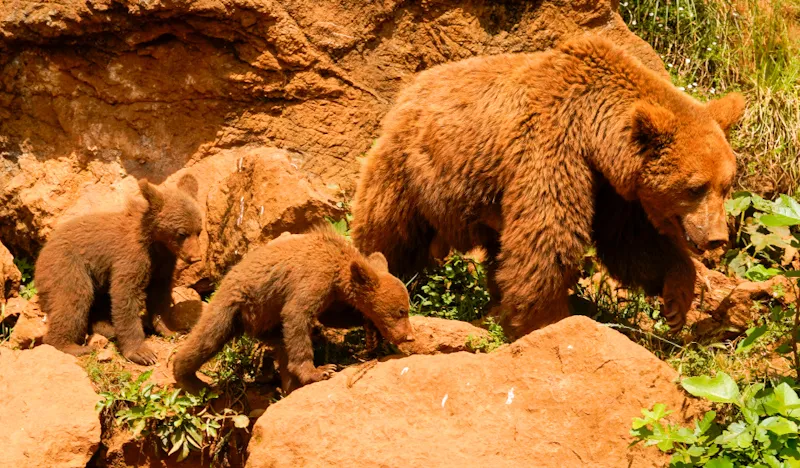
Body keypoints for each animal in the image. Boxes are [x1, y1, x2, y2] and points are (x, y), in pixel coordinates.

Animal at [38, 174, 203, 365]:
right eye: (182, 233)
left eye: (199, 230)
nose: (196, 257)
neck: (155, 242)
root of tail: (42, 251)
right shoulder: (131, 257)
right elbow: (126, 294)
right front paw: (142, 353)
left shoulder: (163, 263)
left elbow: (159, 294)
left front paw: (171, 329)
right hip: (67, 265)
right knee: (73, 298)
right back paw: (71, 346)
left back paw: (108, 328)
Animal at [172, 227, 415, 395]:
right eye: (400, 311)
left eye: (406, 308)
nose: (408, 336)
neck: (338, 268)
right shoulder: (314, 277)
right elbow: (297, 315)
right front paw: (321, 370)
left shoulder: (331, 295)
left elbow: (333, 317)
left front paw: (370, 328)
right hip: (233, 305)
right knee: (207, 338)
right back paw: (190, 379)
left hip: (265, 322)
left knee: (281, 345)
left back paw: (289, 385)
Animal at [350, 34, 745, 340]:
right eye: (695, 187)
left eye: (725, 186)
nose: (717, 238)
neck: (595, 132)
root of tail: (410, 87)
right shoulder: (552, 146)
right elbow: (548, 236)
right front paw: (546, 319)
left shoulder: (610, 189)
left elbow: (632, 243)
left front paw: (677, 299)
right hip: (410, 170)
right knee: (390, 233)